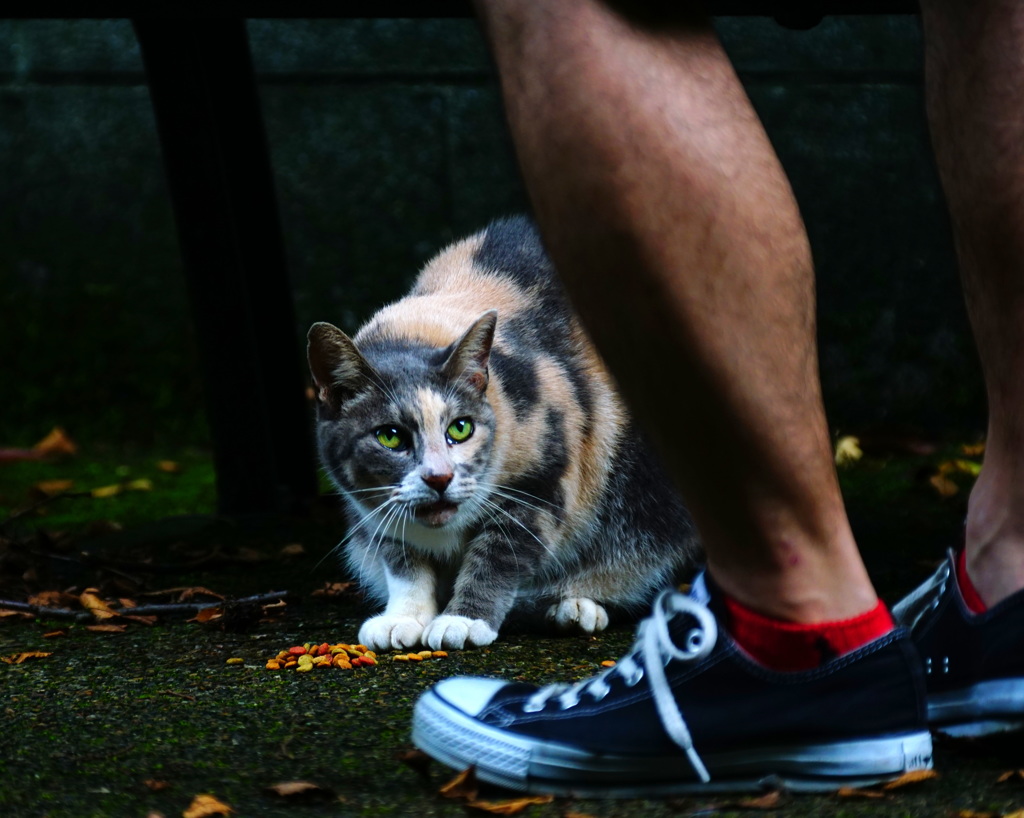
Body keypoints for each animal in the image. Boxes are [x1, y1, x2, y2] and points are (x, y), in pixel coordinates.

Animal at [307, 217, 700, 651]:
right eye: (390, 436)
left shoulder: (543, 482)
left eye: (460, 428)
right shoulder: (376, 510)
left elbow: (498, 554)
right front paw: (404, 618)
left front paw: (463, 621)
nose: (439, 477)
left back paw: (575, 606)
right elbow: (403, 561)